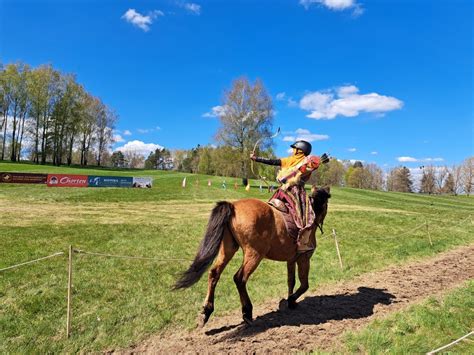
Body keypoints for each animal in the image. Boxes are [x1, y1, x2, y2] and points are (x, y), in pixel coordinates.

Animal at [173, 186, 330, 328]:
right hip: (254, 254)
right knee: (239, 278)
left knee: (214, 273)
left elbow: (291, 281)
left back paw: (206, 311)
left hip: (228, 250)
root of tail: (233, 206)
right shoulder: (304, 259)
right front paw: (291, 300)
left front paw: (290, 301)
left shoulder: (291, 260)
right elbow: (304, 285)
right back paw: (247, 312)